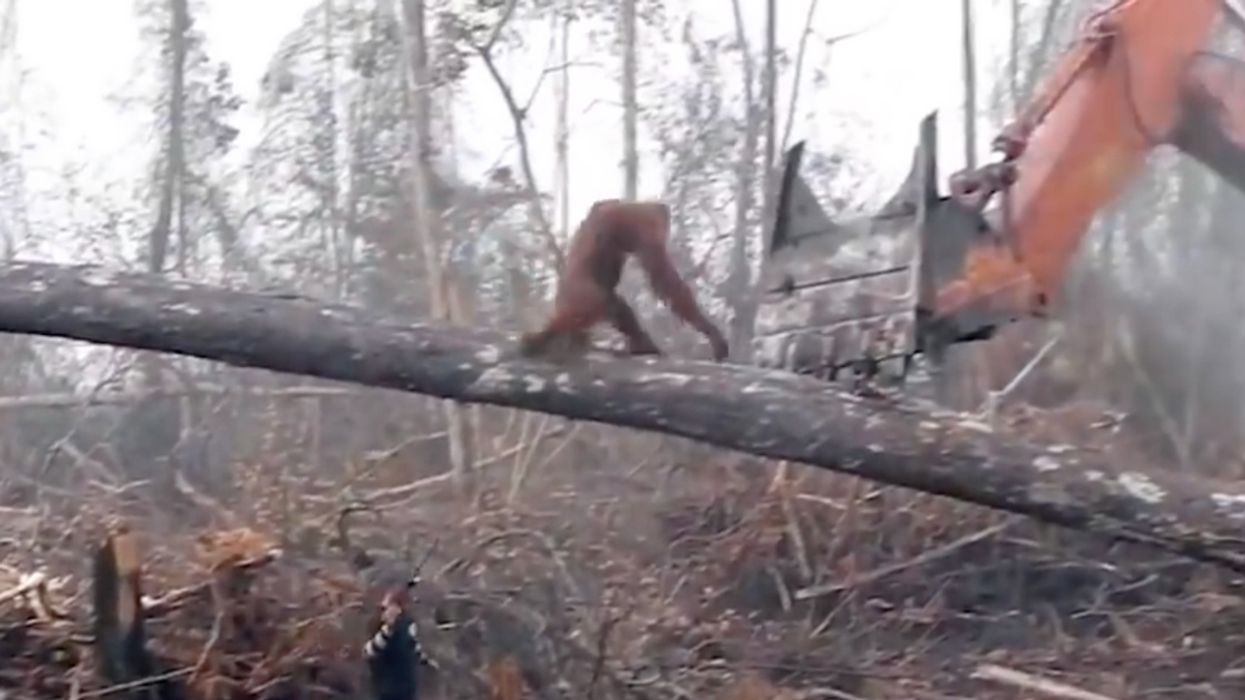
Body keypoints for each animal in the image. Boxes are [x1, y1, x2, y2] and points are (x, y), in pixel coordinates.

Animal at [518, 199, 729, 362]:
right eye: (661, 226)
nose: (665, 226)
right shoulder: (643, 228)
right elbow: (665, 281)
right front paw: (711, 332)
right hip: (577, 300)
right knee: (601, 302)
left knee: (614, 304)